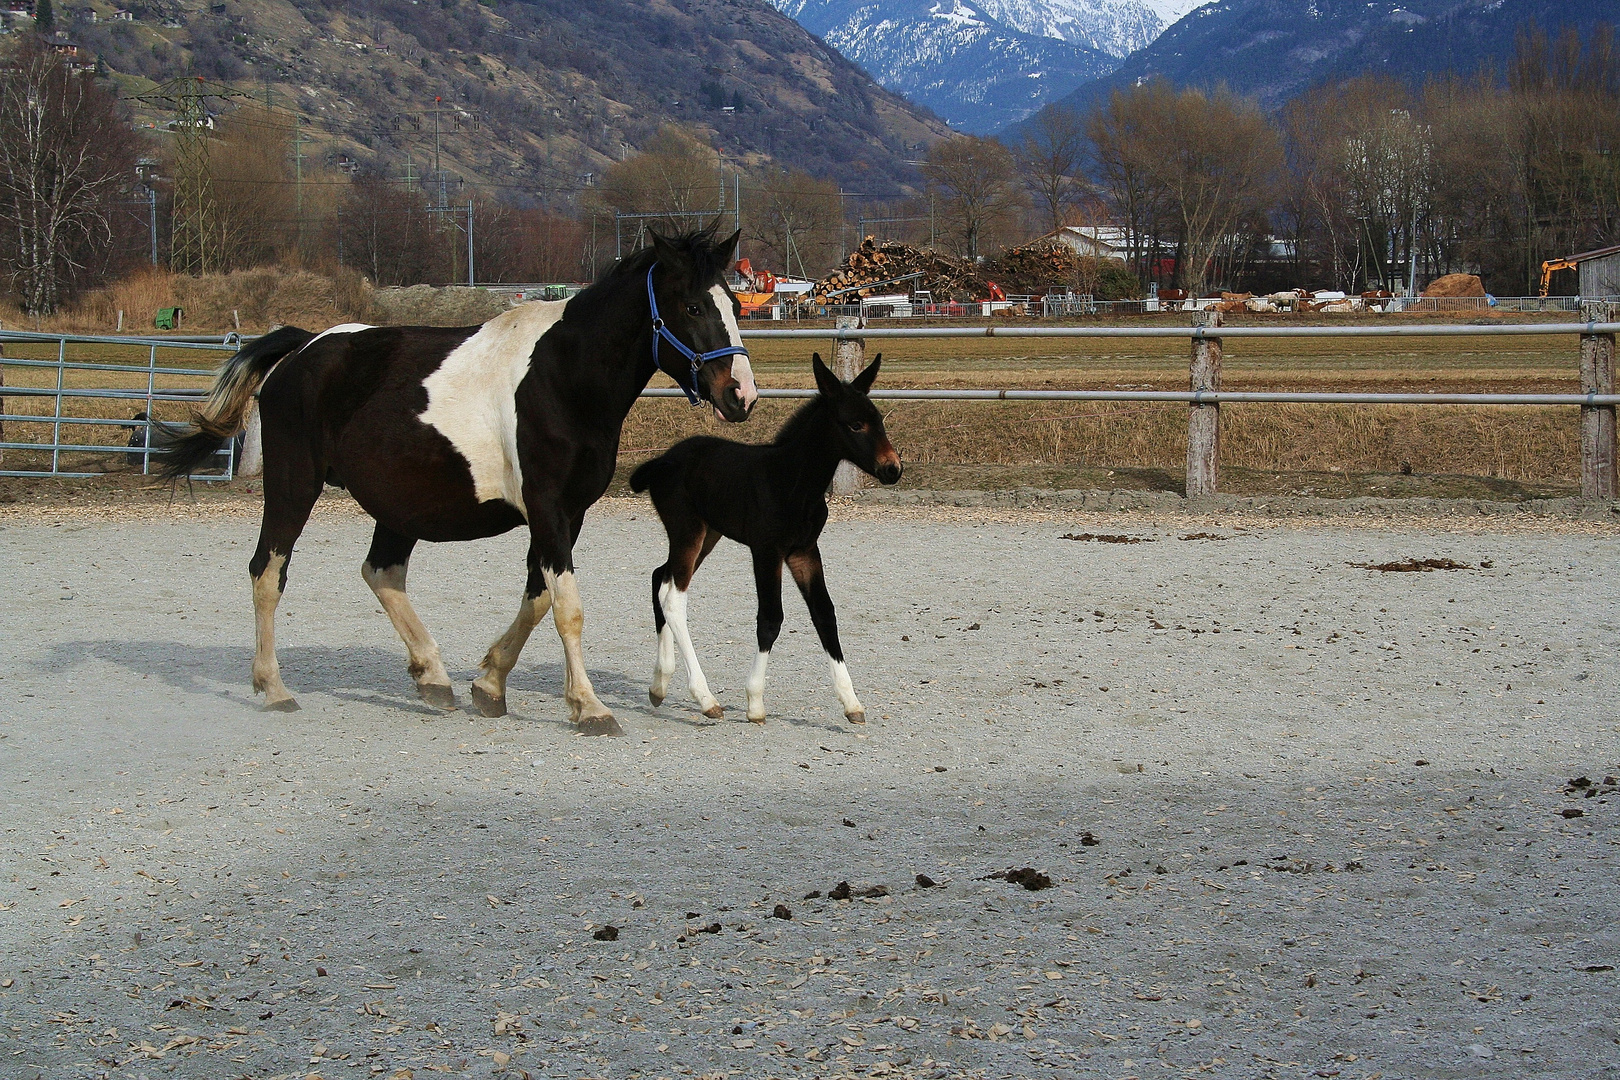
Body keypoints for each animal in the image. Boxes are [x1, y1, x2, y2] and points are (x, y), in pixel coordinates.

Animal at [161, 226, 754, 735]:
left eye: (734, 303)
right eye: (693, 305)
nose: (740, 395)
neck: (563, 378)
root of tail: (304, 348)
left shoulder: (568, 513)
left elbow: (539, 598)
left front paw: (489, 685)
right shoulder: (547, 508)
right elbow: (568, 609)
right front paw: (589, 707)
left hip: (399, 505)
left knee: (381, 572)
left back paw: (433, 677)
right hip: (293, 486)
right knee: (268, 573)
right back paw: (274, 688)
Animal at [625, 354, 900, 725]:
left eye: (878, 420)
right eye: (855, 425)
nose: (893, 469)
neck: (793, 483)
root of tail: (661, 459)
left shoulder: (804, 550)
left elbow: (824, 613)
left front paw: (851, 702)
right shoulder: (767, 550)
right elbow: (770, 618)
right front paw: (755, 702)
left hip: (708, 534)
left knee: (660, 577)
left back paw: (660, 684)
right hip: (687, 529)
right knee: (673, 597)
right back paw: (705, 698)